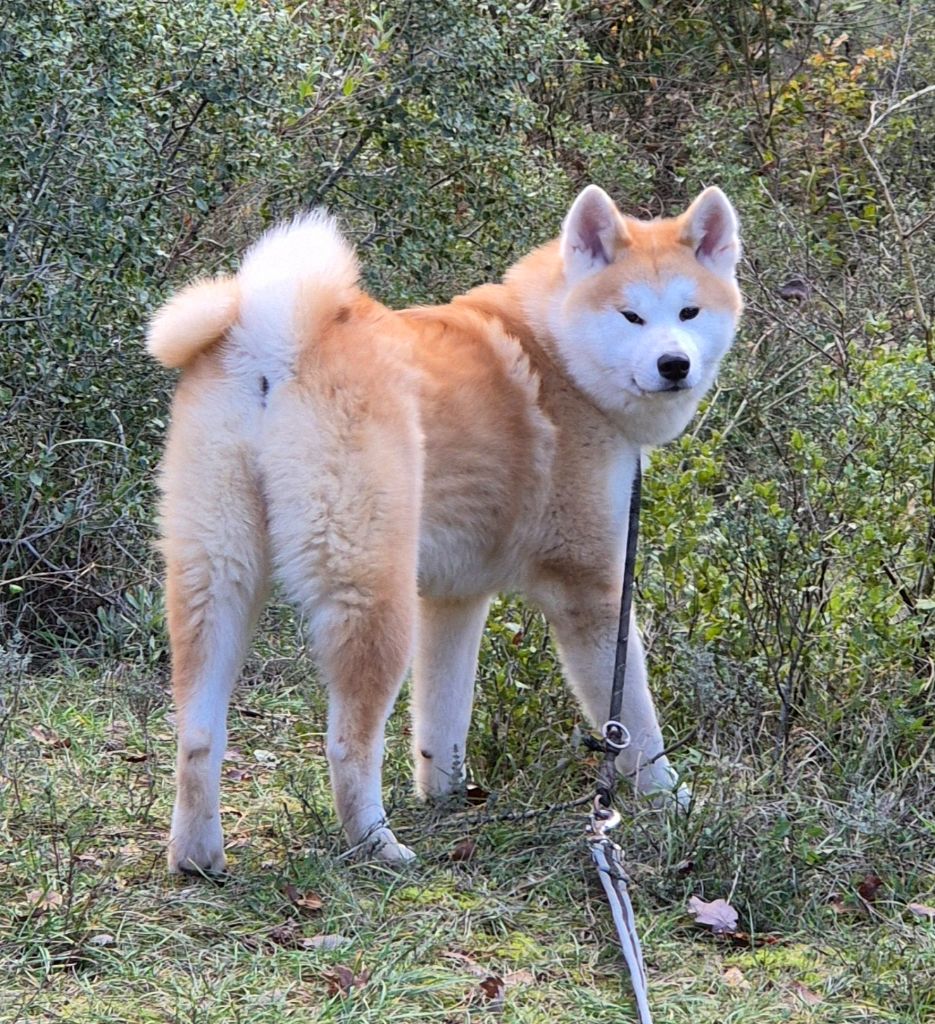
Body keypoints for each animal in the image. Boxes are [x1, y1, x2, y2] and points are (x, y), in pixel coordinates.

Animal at [145, 184, 741, 872]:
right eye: (631, 317)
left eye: (689, 311)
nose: (675, 364)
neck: (555, 351)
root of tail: (275, 339)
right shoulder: (588, 589)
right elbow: (635, 725)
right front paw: (671, 800)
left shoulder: (456, 599)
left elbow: (442, 718)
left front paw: (448, 795)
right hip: (374, 597)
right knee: (348, 744)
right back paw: (377, 844)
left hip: (216, 580)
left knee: (198, 735)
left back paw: (197, 856)